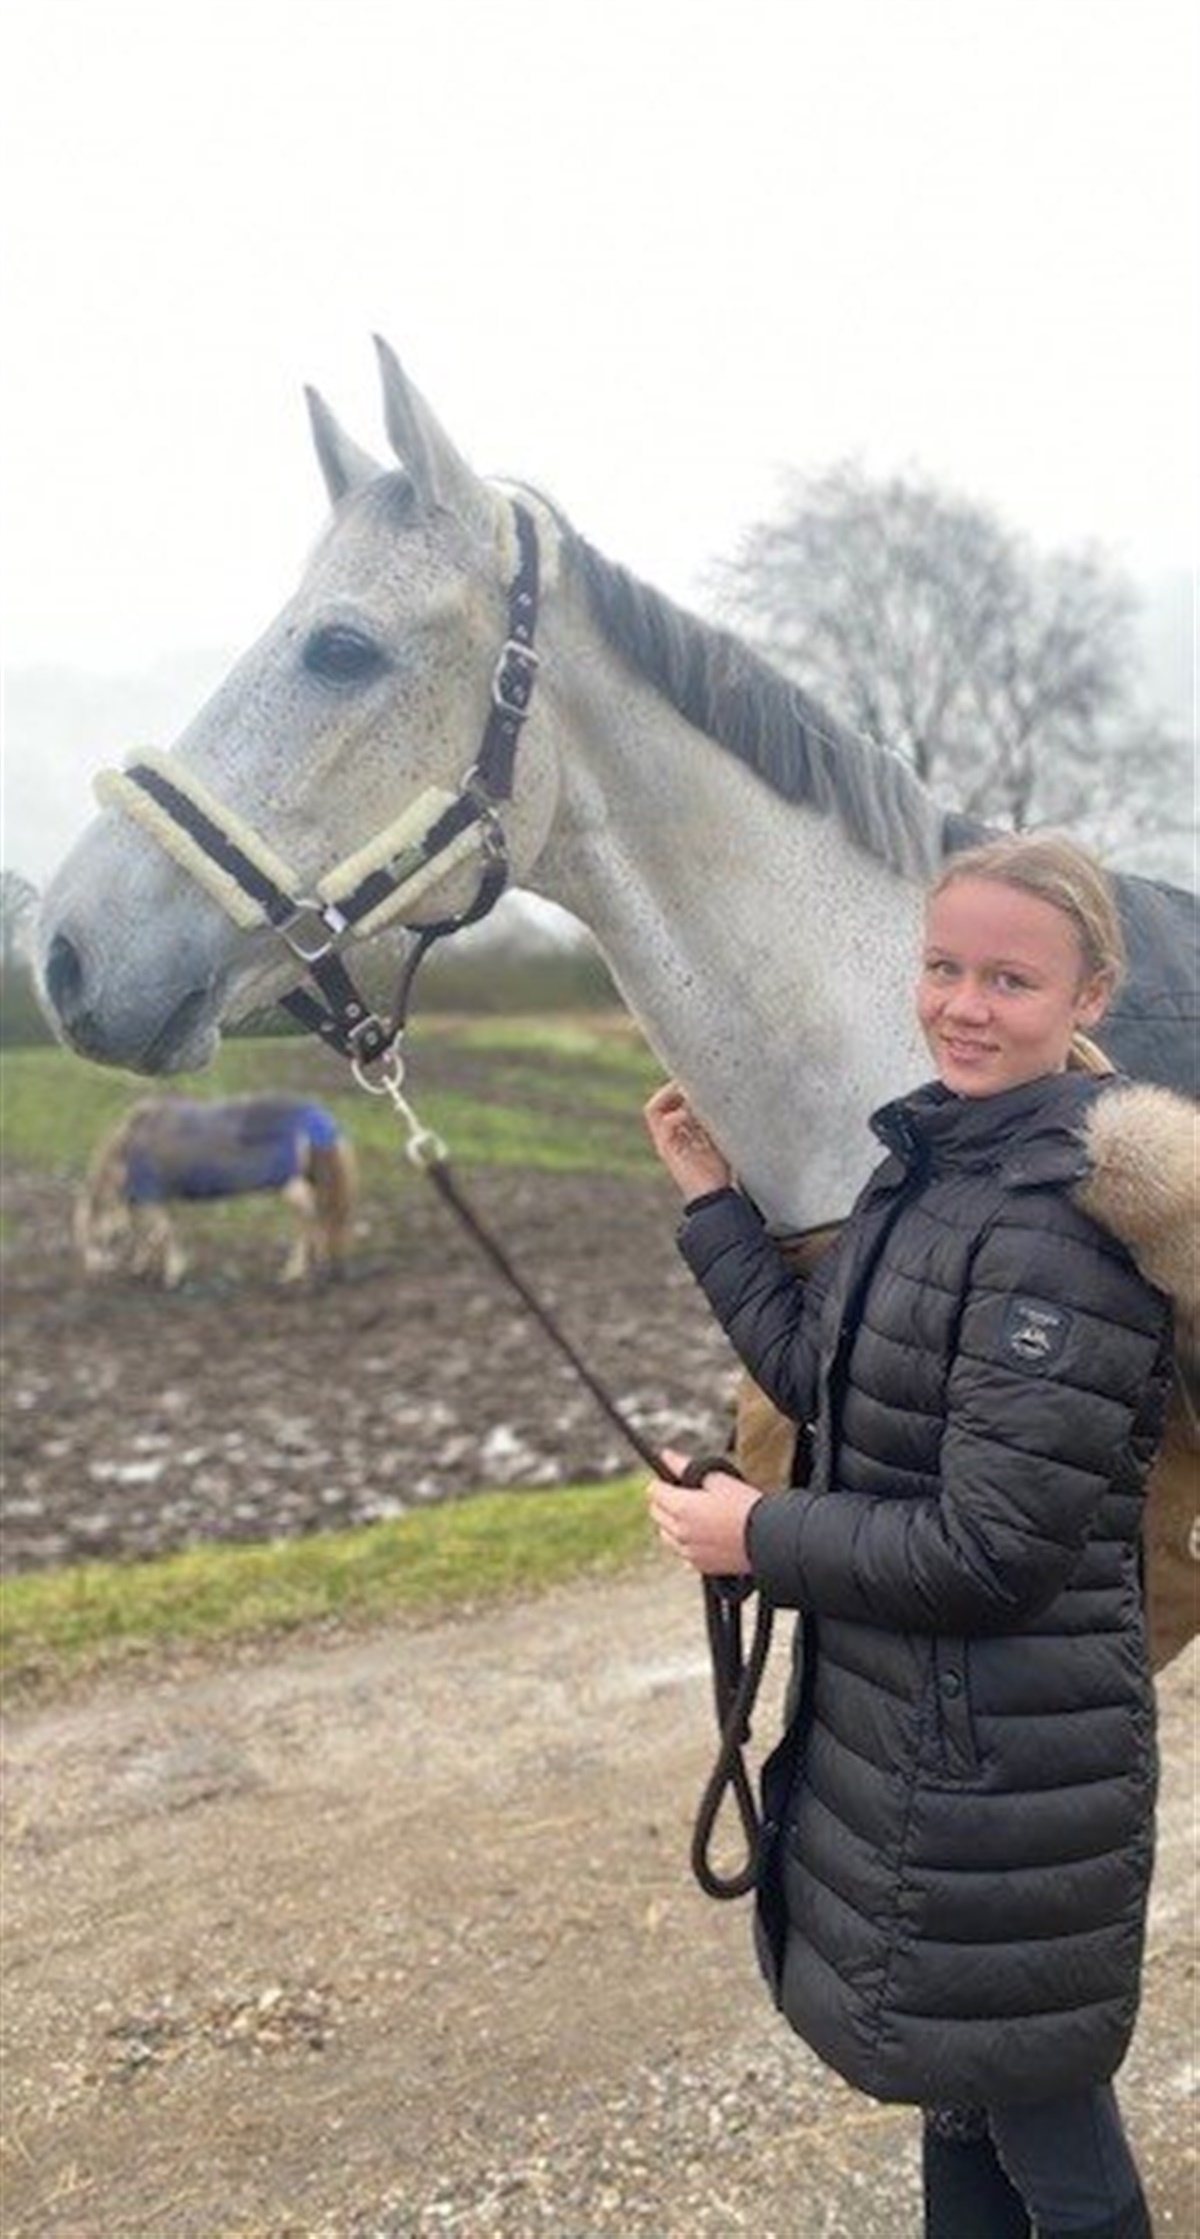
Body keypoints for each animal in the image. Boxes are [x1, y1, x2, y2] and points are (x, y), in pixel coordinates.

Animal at [75, 1094, 357, 1288]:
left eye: (96, 1233)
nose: (91, 1272)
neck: (128, 1145)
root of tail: (317, 1119)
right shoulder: (162, 1198)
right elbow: (163, 1231)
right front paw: (151, 1266)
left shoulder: (153, 1195)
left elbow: (159, 1232)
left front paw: (167, 1272)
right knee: (320, 1214)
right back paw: (317, 1262)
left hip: (288, 1183)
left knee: (309, 1214)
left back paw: (294, 1270)